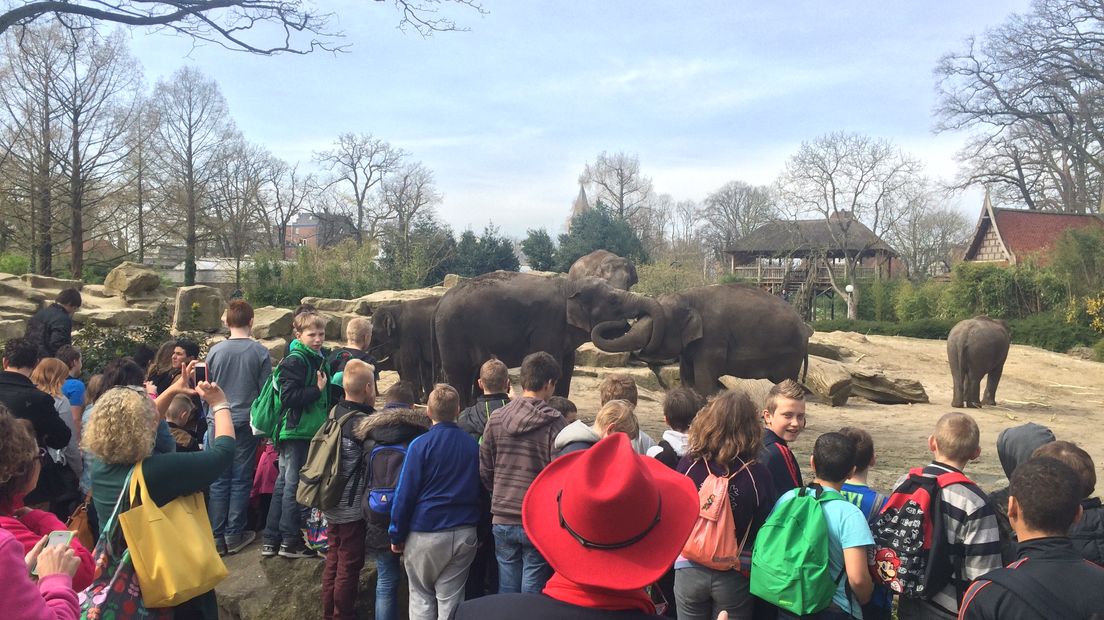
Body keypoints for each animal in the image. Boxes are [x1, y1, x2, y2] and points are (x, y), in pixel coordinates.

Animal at [432, 270, 662, 405]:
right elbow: (554, 364)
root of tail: (439, 302)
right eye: (613, 301)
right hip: (452, 333)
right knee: (457, 372)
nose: (630, 321)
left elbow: (568, 367)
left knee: (470, 371)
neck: (569, 285)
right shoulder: (548, 323)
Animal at [591, 282, 816, 392]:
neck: (688, 298)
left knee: (785, 381)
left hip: (790, 354)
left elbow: (704, 379)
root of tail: (805, 329)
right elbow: (687, 377)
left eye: (658, 322)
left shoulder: (713, 338)